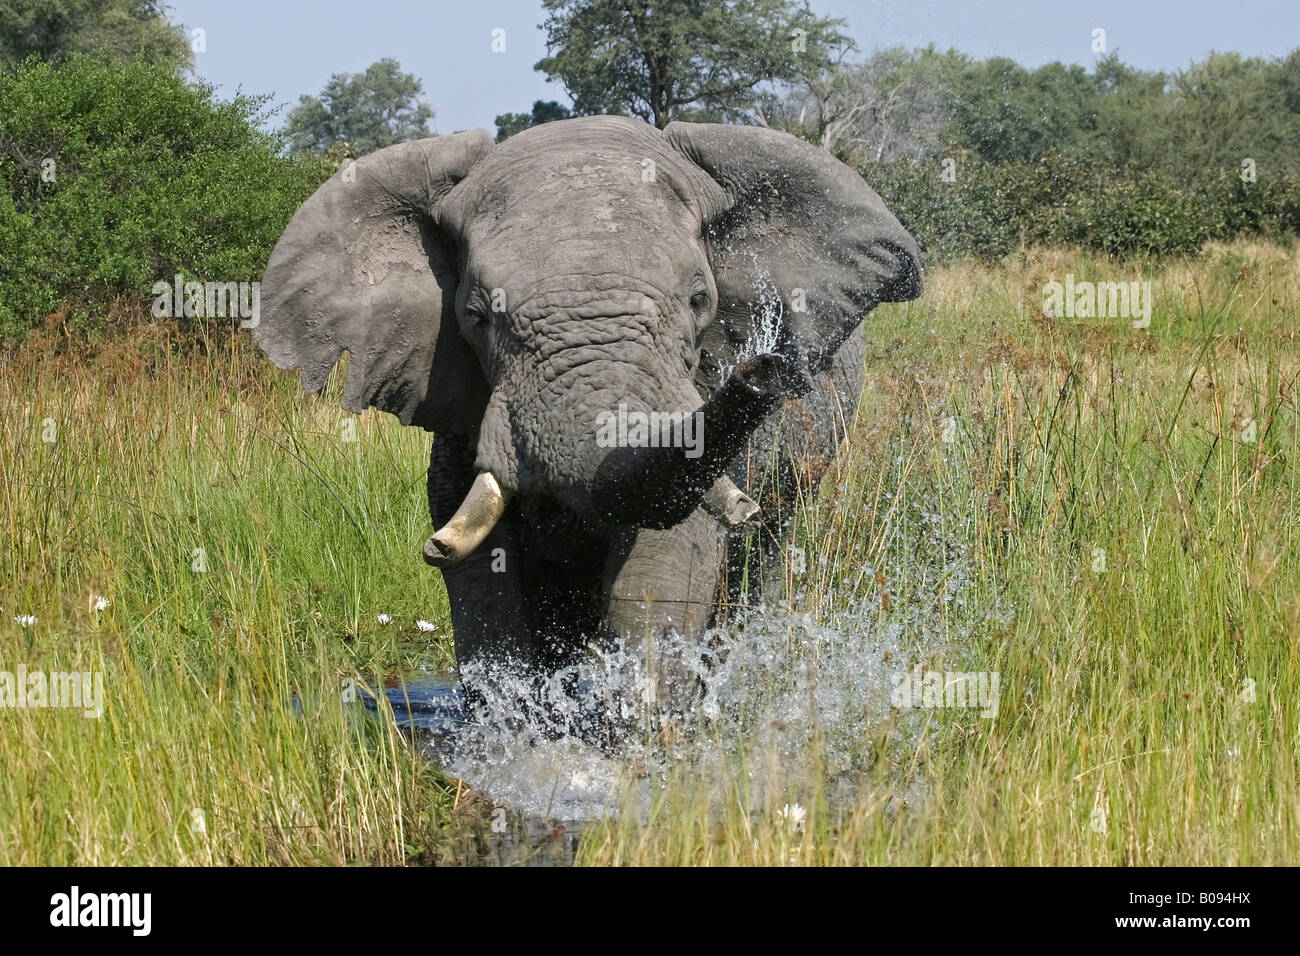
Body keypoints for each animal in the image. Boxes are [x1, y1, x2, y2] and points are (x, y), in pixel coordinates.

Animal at [256, 115, 925, 738]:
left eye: (700, 301)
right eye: (475, 316)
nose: (764, 370)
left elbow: (667, 550)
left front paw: (638, 746)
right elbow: (477, 563)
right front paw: (518, 746)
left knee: (759, 561)